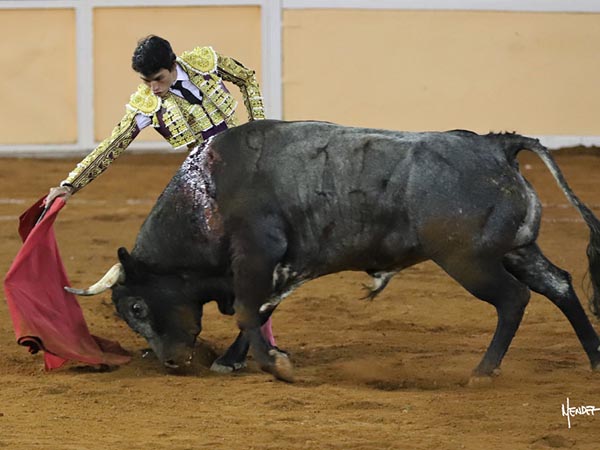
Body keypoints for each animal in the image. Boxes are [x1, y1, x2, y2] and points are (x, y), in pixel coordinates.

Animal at [67, 118, 600, 380]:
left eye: (136, 307)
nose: (173, 363)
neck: (207, 197)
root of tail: (496, 146)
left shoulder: (258, 255)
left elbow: (248, 312)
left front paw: (274, 367)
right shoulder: (282, 268)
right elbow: (257, 312)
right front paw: (237, 360)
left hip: (468, 261)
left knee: (514, 299)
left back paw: (483, 373)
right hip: (516, 250)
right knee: (558, 284)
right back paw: (595, 359)